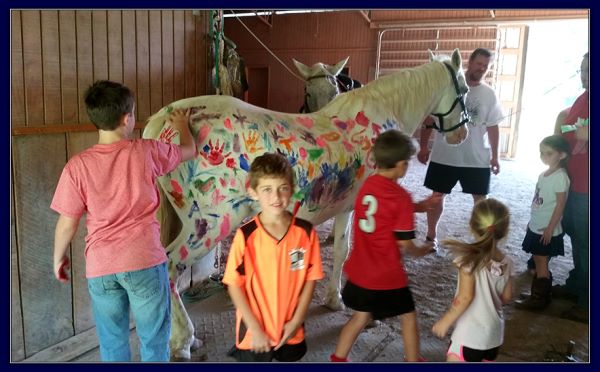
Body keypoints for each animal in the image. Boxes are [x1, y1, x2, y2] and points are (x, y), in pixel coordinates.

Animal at [144, 48, 468, 358]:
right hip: (207, 226)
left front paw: (334, 299)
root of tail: (164, 120)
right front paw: (365, 311)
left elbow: (340, 249)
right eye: (464, 89)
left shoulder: (347, 208)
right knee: (169, 266)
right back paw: (183, 341)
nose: (462, 133)